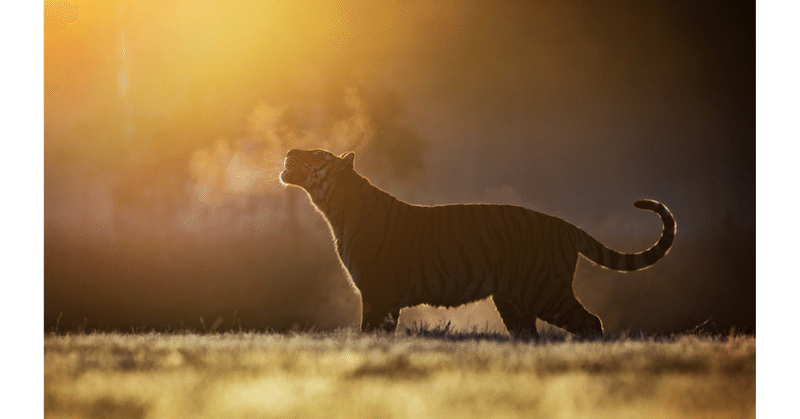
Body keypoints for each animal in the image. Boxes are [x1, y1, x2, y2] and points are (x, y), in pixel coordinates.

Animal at [282, 148, 676, 338]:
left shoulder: (379, 294)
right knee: (529, 335)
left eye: (318, 155)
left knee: (590, 322)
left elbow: (371, 334)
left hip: (546, 290)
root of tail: (565, 225)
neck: (334, 208)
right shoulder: (383, 297)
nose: (288, 151)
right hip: (514, 299)